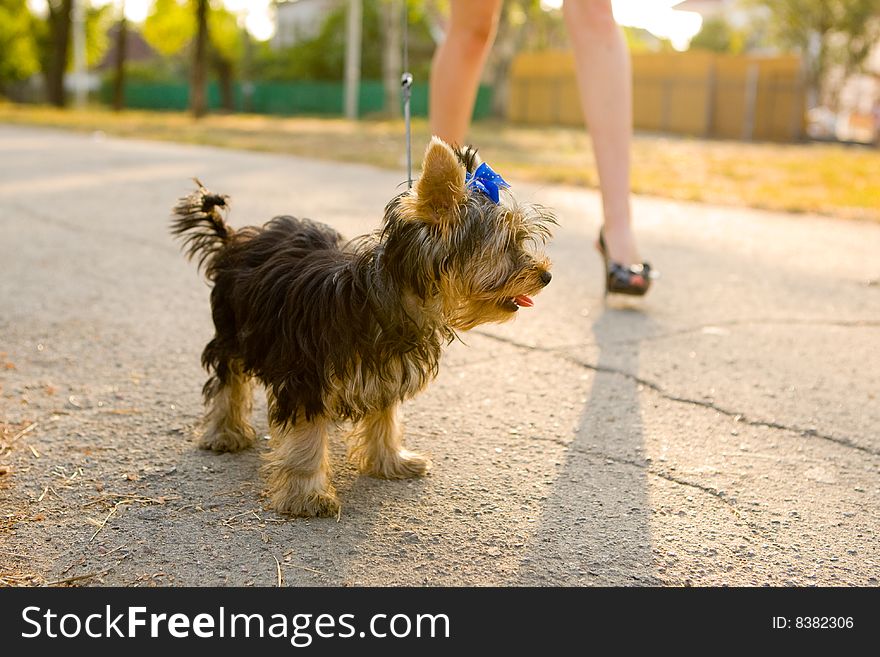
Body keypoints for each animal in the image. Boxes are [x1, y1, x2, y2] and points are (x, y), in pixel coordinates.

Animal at [172, 140, 552, 516]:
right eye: (506, 244)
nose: (546, 276)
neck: (383, 298)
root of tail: (234, 239)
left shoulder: (385, 369)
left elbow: (385, 417)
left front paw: (390, 461)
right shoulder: (307, 375)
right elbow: (306, 435)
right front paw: (308, 495)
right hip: (234, 326)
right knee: (229, 377)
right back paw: (226, 433)